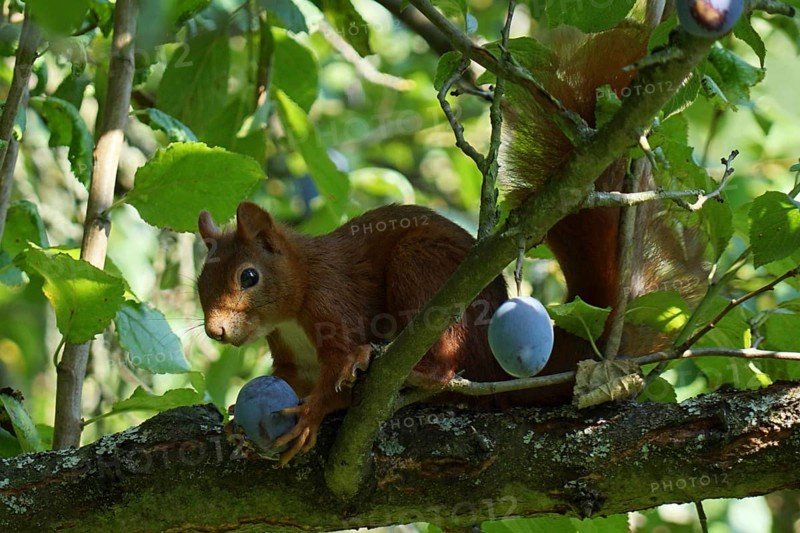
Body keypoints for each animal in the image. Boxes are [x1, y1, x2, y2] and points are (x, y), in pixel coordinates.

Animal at [197, 25, 706, 464]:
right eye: (201, 283)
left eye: (249, 276)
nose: (215, 332)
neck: (295, 294)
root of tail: (494, 368)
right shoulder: (290, 358)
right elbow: (284, 379)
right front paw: (234, 421)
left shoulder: (332, 300)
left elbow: (339, 361)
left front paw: (314, 413)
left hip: (422, 270)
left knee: (445, 370)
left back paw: (410, 372)